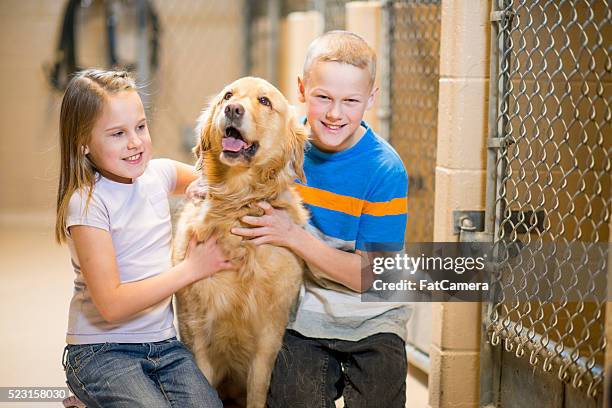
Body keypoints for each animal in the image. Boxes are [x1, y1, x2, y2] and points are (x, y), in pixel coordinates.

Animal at [171, 77, 306, 408]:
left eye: (265, 101)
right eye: (227, 96)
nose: (233, 109)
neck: (236, 204)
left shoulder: (268, 338)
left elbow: (257, 391)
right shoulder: (195, 329)